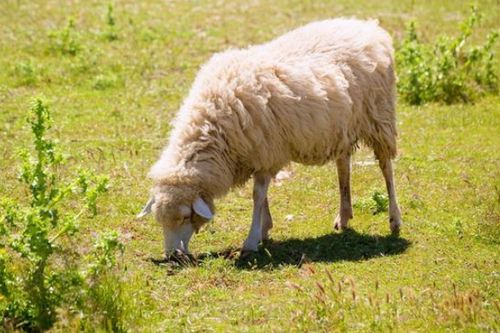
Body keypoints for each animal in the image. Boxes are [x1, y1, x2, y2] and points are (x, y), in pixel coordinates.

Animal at [137, 18, 402, 254]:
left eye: (184, 217)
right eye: (160, 221)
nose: (172, 255)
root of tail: (369, 27)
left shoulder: (265, 151)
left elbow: (257, 195)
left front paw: (252, 240)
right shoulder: (259, 153)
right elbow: (261, 195)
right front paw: (264, 229)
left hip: (380, 117)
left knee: (386, 168)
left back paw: (395, 220)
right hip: (342, 126)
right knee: (343, 166)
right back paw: (344, 216)